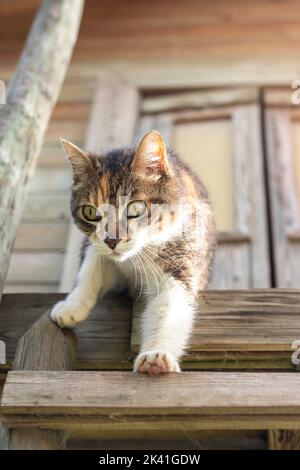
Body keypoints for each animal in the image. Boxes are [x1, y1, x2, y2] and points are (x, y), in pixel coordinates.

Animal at [51, 130, 216, 376]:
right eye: (90, 212)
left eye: (135, 208)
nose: (112, 240)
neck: (136, 256)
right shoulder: (96, 246)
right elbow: (91, 265)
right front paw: (71, 307)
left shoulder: (181, 254)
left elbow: (169, 306)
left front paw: (157, 355)